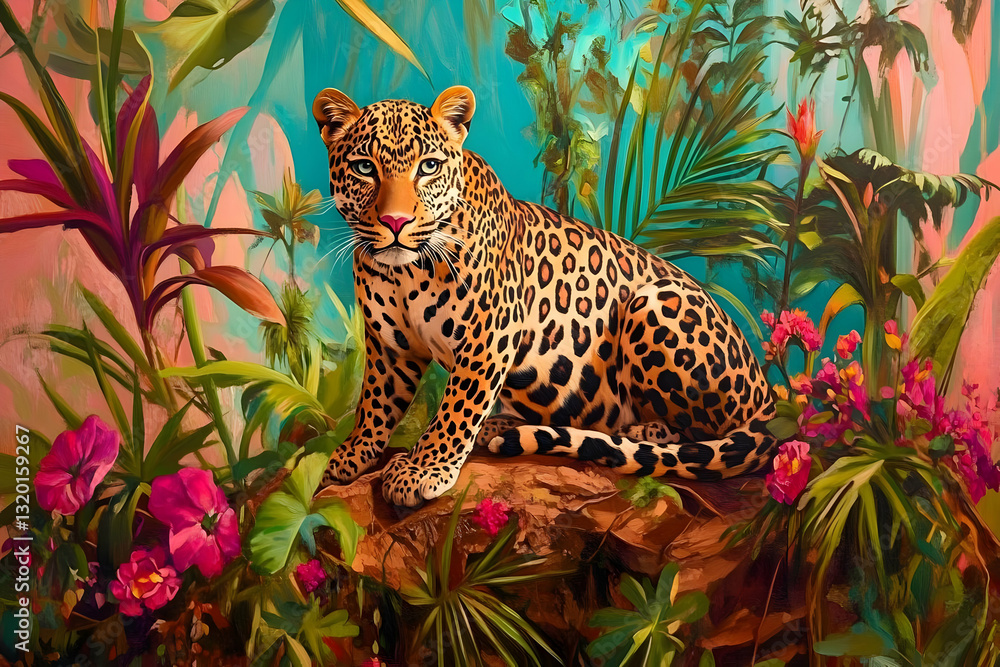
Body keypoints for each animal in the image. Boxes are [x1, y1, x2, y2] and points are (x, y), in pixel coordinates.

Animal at [312, 85, 777, 507]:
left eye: (428, 168)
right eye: (364, 167)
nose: (395, 221)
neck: (405, 272)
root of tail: (768, 404)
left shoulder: (487, 337)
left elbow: (455, 409)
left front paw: (423, 470)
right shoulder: (391, 347)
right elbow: (375, 402)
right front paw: (350, 457)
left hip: (654, 302)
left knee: (692, 436)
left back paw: (640, 433)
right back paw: (501, 429)